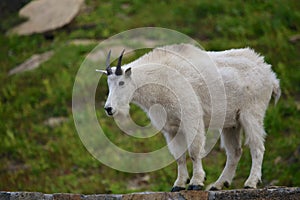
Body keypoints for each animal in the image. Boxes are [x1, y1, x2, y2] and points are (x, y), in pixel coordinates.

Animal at [97, 43, 280, 191]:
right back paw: (219, 184)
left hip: (252, 112)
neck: (158, 79)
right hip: (231, 123)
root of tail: (269, 74)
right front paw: (179, 184)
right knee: (235, 152)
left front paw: (196, 182)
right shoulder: (170, 128)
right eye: (109, 84)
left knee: (257, 147)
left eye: (121, 83)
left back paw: (251, 182)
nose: (109, 108)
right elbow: (178, 156)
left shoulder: (191, 117)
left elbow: (194, 151)